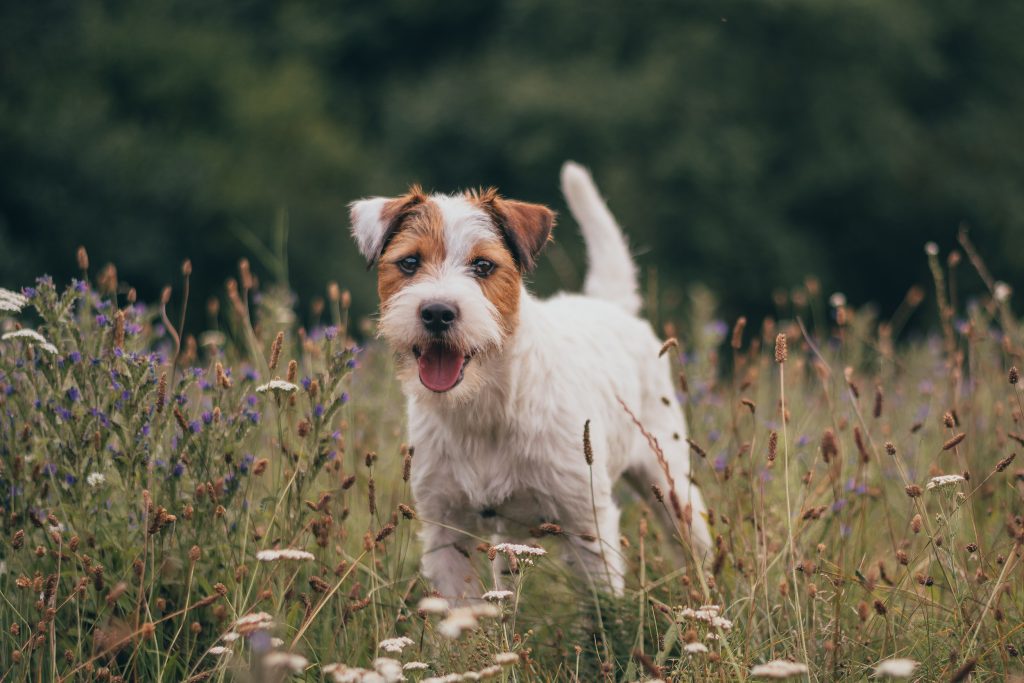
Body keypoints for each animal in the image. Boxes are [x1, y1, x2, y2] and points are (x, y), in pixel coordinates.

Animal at [348, 161, 708, 598]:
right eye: (410, 263)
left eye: (483, 265)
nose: (436, 313)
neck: (484, 406)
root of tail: (609, 305)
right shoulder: (446, 530)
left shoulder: (587, 521)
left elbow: (603, 606)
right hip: (510, 536)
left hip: (670, 482)